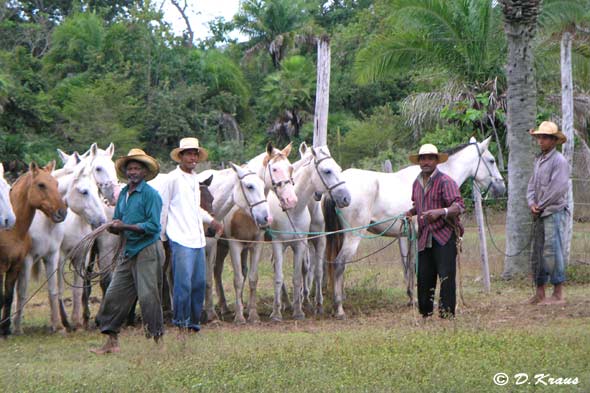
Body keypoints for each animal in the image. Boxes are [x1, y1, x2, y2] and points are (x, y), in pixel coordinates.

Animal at [0, 161, 67, 336]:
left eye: (56, 184)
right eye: (41, 185)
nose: (62, 212)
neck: (12, 231)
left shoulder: (16, 265)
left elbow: (9, 296)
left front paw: (5, 329)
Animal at [13, 158, 106, 332]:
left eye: (97, 190)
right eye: (84, 192)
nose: (102, 221)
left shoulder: (77, 257)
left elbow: (74, 290)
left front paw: (74, 322)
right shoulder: (54, 257)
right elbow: (54, 289)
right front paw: (65, 322)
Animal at [209, 142, 298, 324]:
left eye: (291, 168)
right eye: (275, 169)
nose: (291, 200)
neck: (245, 212)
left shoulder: (256, 244)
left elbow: (252, 278)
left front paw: (253, 314)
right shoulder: (234, 244)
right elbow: (237, 279)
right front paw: (239, 316)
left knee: (219, 270)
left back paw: (226, 307)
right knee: (216, 271)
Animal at [268, 145, 352, 322]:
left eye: (339, 169)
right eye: (327, 171)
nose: (346, 198)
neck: (293, 210)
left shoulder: (315, 241)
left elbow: (312, 272)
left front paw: (313, 305)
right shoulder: (280, 243)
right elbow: (282, 275)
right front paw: (278, 312)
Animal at [324, 136, 508, 316]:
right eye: (491, 160)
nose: (502, 188)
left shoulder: (411, 235)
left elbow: (410, 265)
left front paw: (411, 297)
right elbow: (414, 266)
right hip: (353, 235)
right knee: (339, 263)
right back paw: (339, 308)